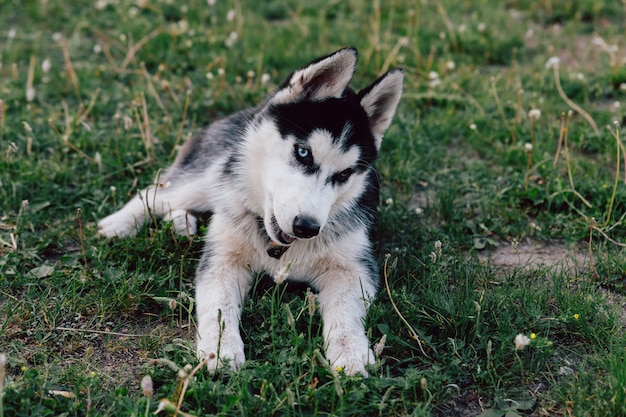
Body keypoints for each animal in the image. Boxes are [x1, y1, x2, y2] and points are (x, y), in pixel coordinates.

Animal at [97, 47, 400, 376]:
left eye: (345, 174)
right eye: (303, 152)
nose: (307, 227)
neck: (277, 247)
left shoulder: (354, 268)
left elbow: (346, 312)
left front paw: (351, 352)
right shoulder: (222, 260)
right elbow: (219, 307)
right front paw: (221, 348)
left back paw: (182, 224)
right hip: (212, 177)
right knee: (156, 193)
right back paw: (119, 224)